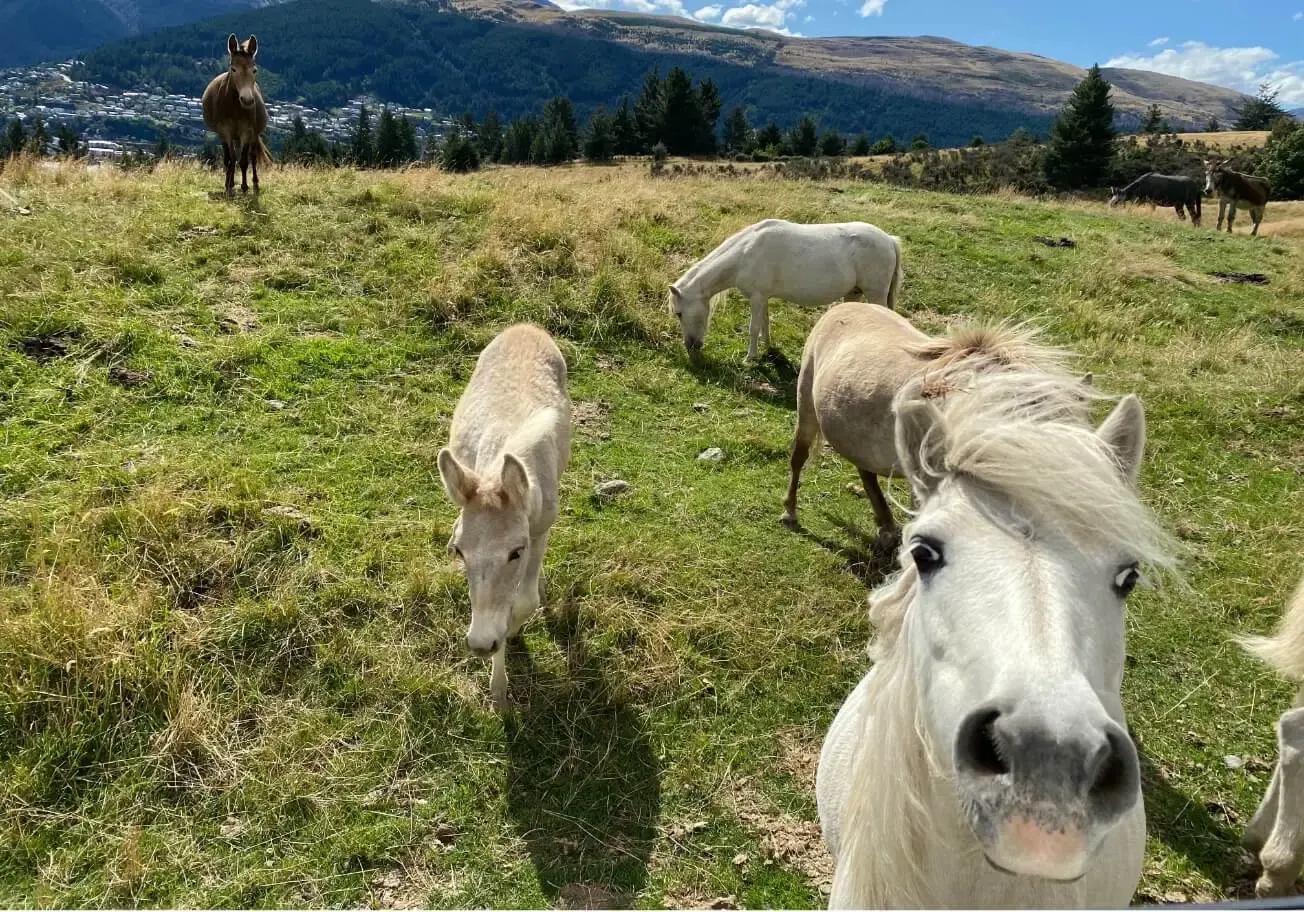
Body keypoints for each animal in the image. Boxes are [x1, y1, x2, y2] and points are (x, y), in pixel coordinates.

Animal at [202, 34, 271, 197]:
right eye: (233, 69)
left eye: (254, 70)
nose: (247, 100)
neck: (234, 108)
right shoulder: (224, 130)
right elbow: (229, 159)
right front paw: (228, 186)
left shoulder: (247, 131)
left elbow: (244, 161)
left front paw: (245, 187)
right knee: (231, 157)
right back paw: (231, 183)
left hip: (252, 135)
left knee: (251, 157)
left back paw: (254, 184)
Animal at [437, 324, 572, 710]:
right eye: (459, 550)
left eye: (516, 550)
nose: (481, 643)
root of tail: (525, 326)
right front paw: (499, 693)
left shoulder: (542, 527)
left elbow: (525, 601)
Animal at [668, 219, 903, 360]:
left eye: (679, 313)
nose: (691, 346)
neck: (745, 254)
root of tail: (889, 240)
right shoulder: (762, 298)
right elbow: (764, 323)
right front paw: (767, 346)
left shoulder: (757, 297)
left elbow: (753, 327)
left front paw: (750, 357)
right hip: (853, 293)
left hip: (876, 293)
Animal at [780, 302, 1075, 544]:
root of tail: (840, 308)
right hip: (807, 410)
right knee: (799, 458)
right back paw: (790, 512)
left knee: (866, 472)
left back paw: (886, 527)